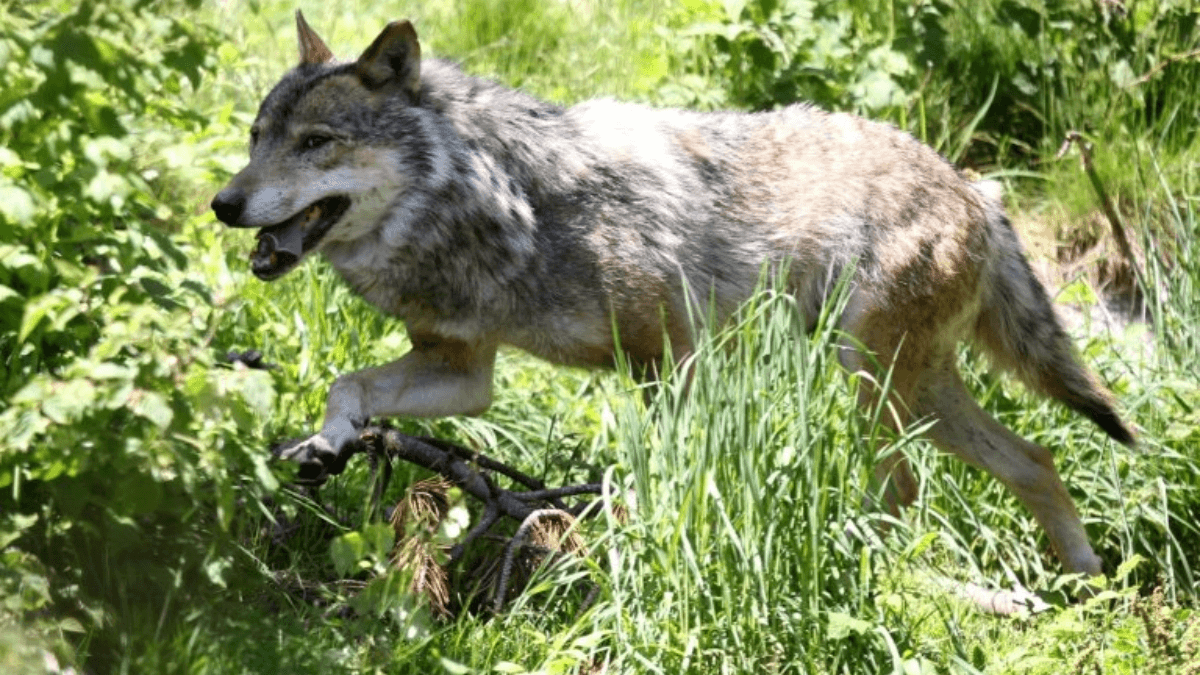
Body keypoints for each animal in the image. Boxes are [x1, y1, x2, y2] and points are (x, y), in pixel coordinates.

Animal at [211, 11, 1135, 576]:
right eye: (256, 138)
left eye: (316, 142)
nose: (223, 204)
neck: (505, 202)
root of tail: (975, 189)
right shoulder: (468, 372)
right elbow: (349, 385)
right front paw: (327, 443)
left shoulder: (673, 361)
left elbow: (664, 472)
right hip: (917, 391)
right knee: (1036, 459)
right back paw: (1084, 585)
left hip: (871, 384)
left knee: (911, 488)